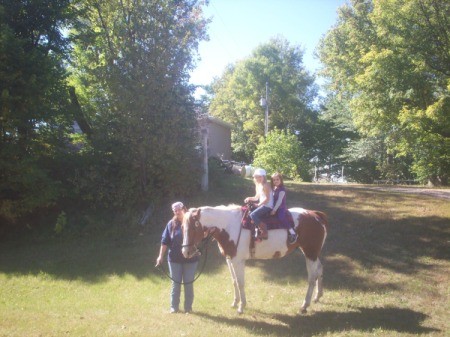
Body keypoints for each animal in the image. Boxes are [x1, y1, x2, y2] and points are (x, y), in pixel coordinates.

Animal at [181, 203, 328, 314]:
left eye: (194, 226)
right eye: (182, 227)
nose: (185, 252)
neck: (229, 226)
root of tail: (315, 215)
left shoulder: (238, 261)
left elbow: (240, 282)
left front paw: (241, 307)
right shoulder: (229, 259)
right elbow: (234, 281)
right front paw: (235, 302)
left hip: (310, 253)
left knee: (312, 278)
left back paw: (304, 305)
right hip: (312, 253)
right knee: (320, 269)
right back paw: (318, 296)